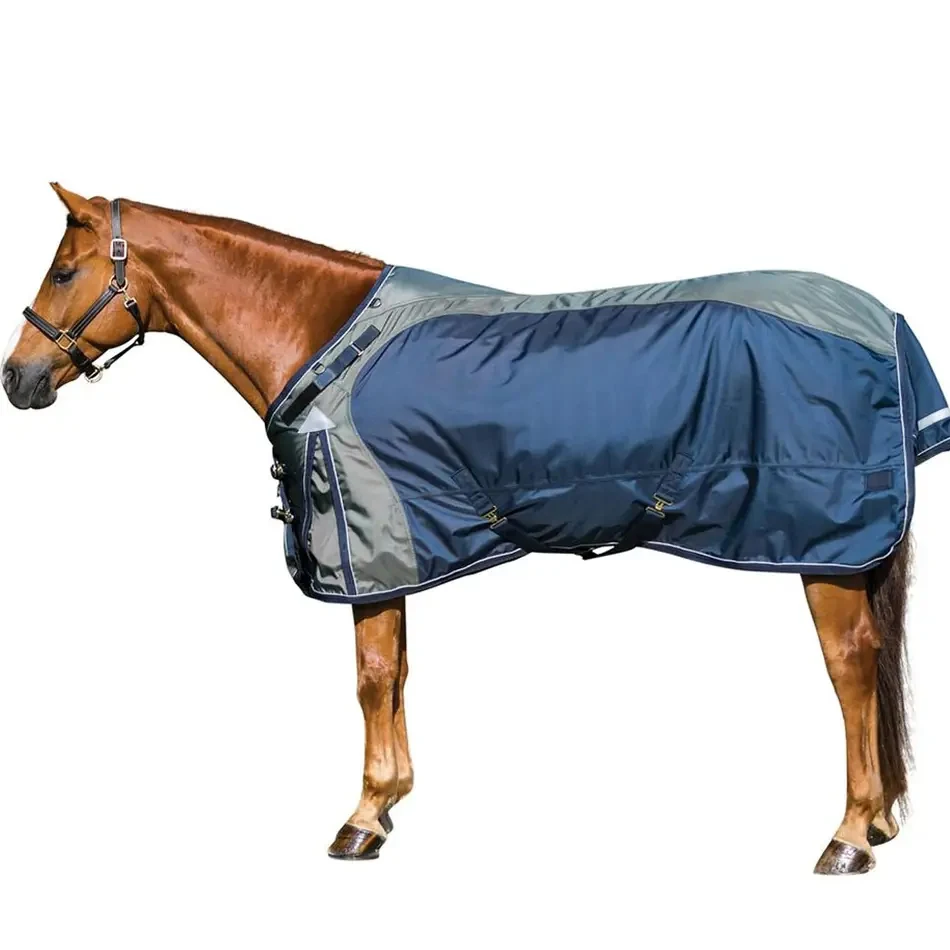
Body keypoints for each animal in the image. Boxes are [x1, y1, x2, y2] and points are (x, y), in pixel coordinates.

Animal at [3, 184, 938, 874]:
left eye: (63, 272)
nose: (19, 379)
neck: (326, 342)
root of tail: (886, 321)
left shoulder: (368, 544)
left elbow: (372, 678)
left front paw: (361, 820)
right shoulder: (401, 554)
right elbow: (397, 675)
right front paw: (387, 806)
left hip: (826, 550)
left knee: (851, 673)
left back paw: (849, 837)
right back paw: (877, 825)